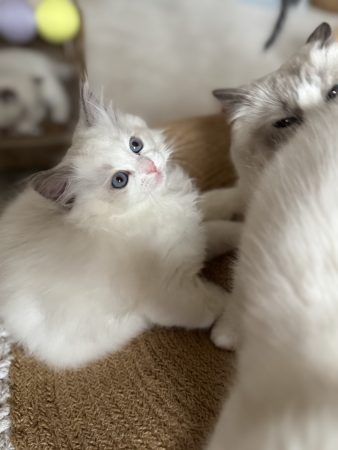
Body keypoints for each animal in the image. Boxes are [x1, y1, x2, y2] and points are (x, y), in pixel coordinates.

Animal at [0, 84, 227, 370]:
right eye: (120, 180)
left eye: (135, 145)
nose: (151, 167)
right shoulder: (172, 292)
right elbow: (215, 303)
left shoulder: (193, 235)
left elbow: (220, 225)